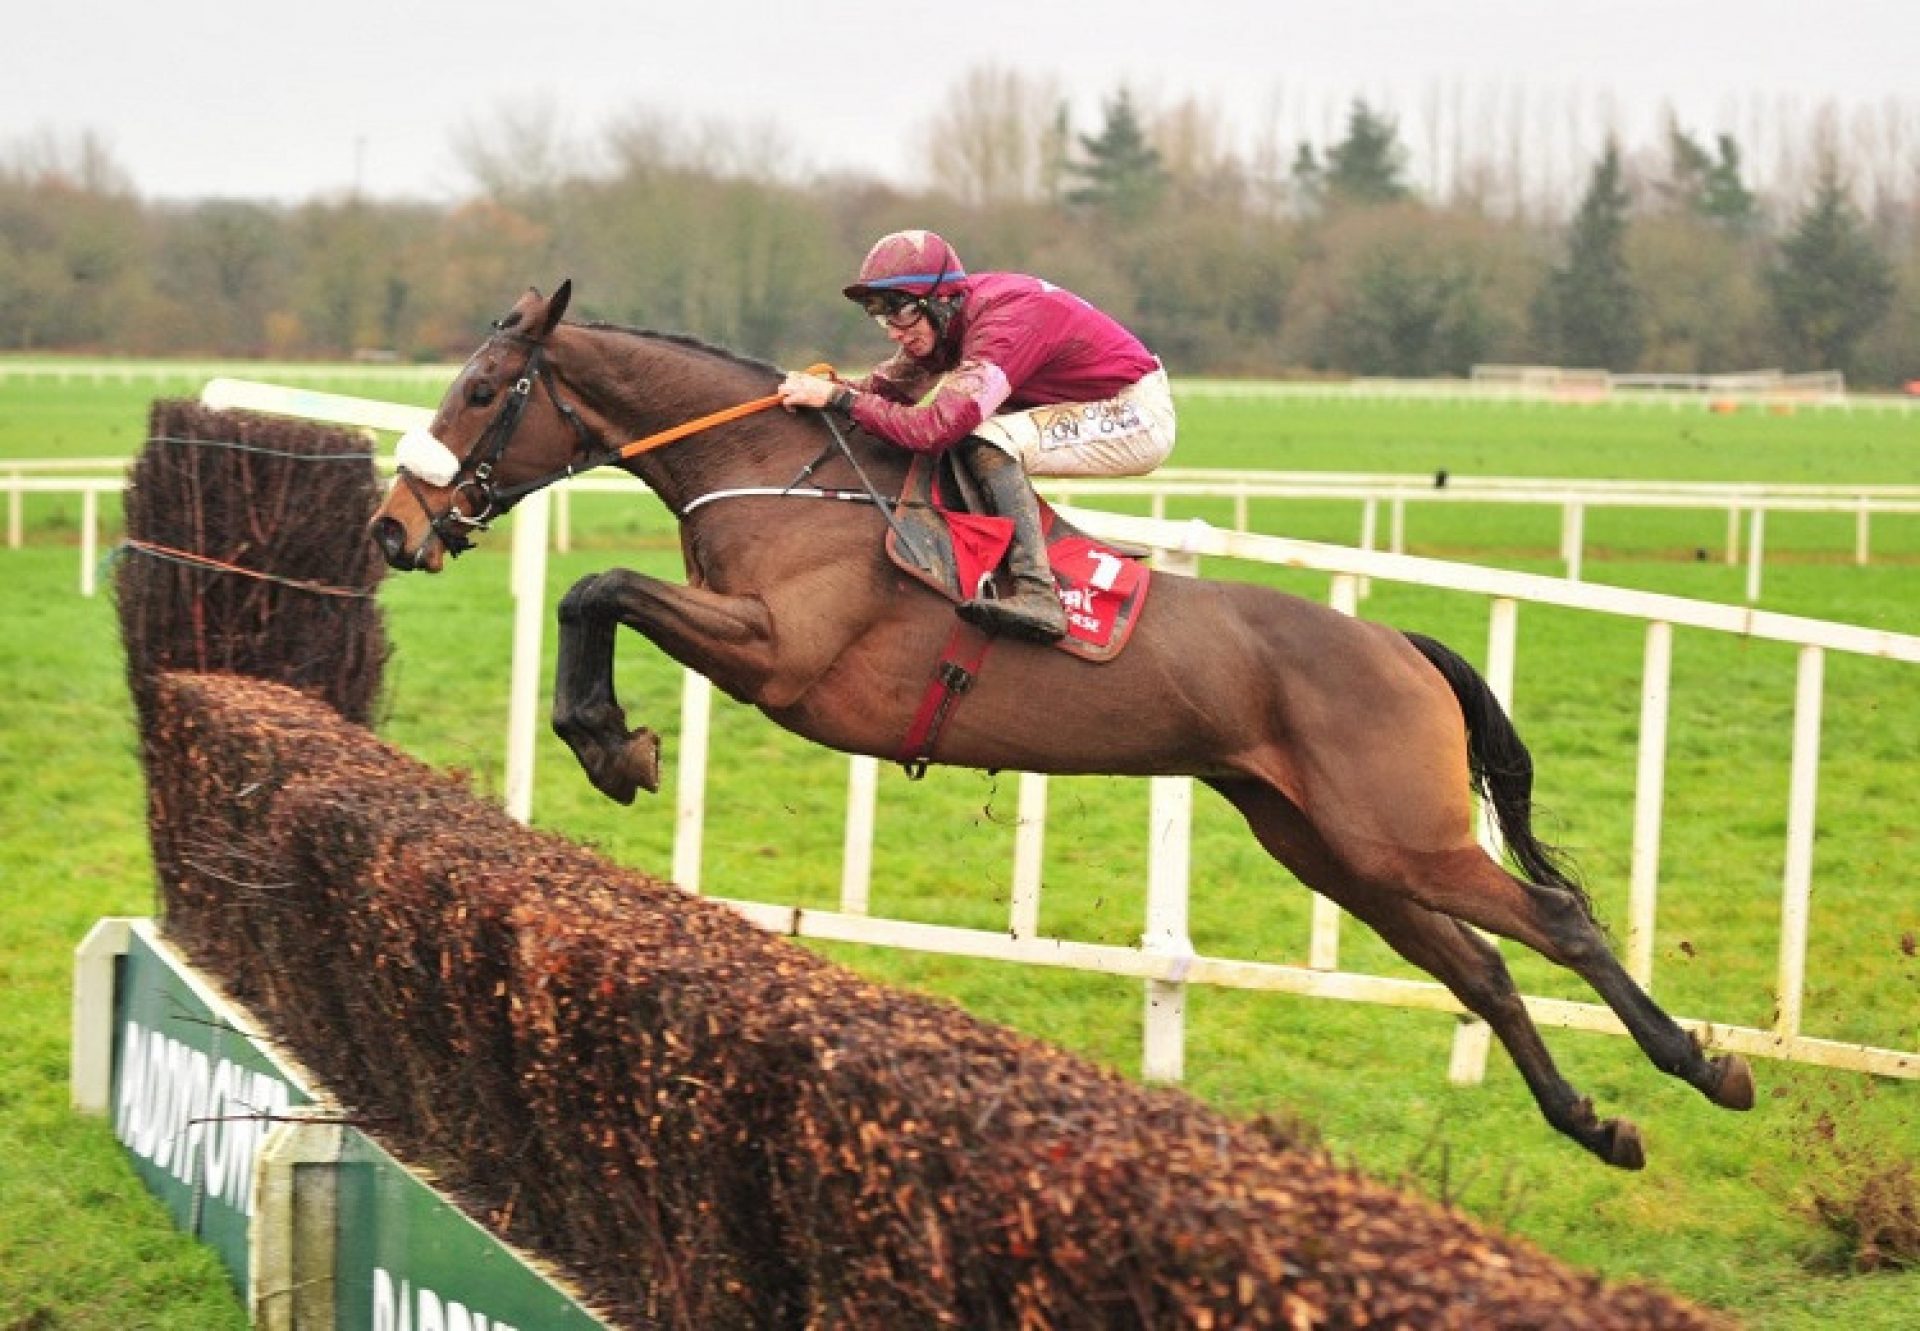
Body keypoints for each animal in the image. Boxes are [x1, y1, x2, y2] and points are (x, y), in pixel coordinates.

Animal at [362, 278, 1758, 1160]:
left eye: (481, 389)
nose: (391, 524)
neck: (782, 475)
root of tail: (1396, 641)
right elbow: (593, 595)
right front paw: (610, 741)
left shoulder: (785, 658)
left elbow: (596, 587)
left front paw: (614, 745)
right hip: (1336, 851)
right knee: (1482, 969)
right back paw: (1595, 1124)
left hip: (1398, 833)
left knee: (1557, 921)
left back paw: (1707, 1066)